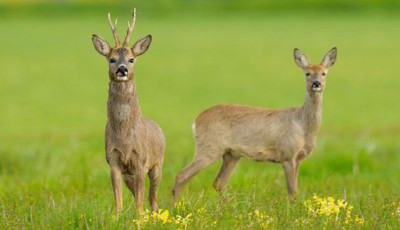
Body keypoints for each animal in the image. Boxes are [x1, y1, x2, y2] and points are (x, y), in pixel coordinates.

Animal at [92, 8, 164, 214]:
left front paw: (140, 219)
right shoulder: (113, 162)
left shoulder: (141, 161)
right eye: (112, 59)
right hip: (128, 175)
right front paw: (116, 218)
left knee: (153, 198)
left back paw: (155, 214)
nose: (122, 69)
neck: (124, 136)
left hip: (157, 164)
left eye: (132, 59)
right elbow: (119, 202)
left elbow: (139, 202)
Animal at [173, 47, 338, 201]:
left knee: (219, 182)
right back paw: (174, 208)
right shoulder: (287, 155)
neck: (302, 125)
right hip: (209, 148)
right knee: (181, 176)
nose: (316, 83)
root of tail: (196, 120)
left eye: (324, 73)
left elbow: (295, 191)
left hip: (231, 154)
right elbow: (292, 192)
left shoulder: (298, 159)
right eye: (307, 73)